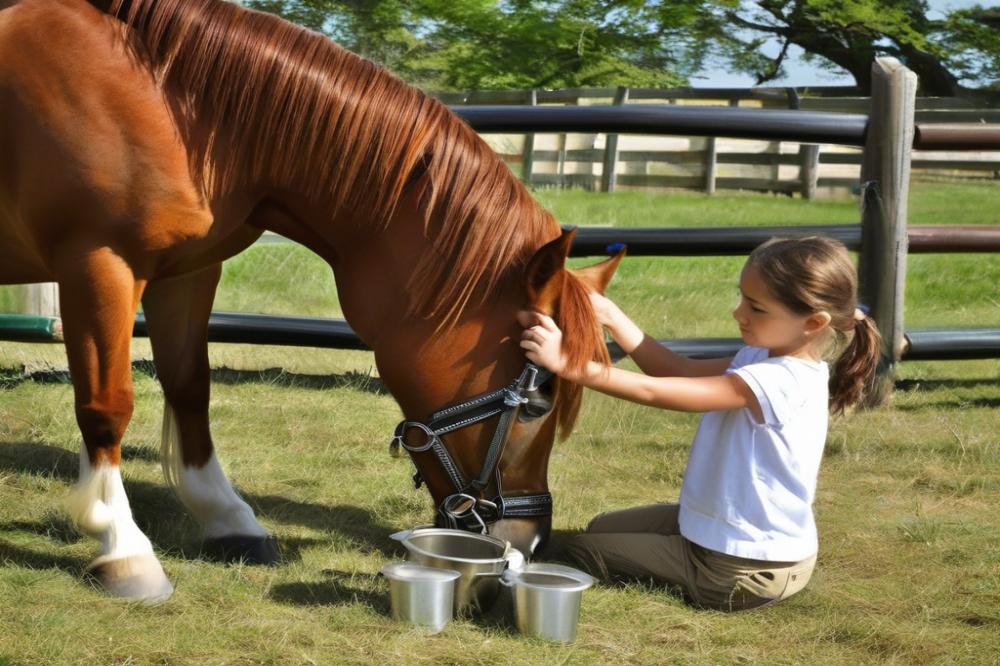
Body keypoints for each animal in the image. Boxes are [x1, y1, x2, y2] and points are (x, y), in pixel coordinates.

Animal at [0, 0, 620, 600]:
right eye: (537, 401)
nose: (530, 540)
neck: (170, 103)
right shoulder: (99, 263)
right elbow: (107, 405)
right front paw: (122, 545)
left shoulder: (188, 272)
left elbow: (190, 390)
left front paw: (228, 520)